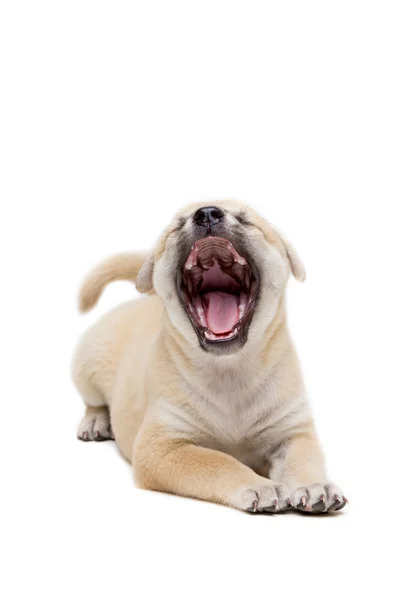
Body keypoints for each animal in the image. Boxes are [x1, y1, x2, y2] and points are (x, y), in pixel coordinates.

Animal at [72, 199, 346, 512]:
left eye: (246, 219)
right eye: (178, 225)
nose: (206, 213)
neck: (228, 369)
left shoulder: (294, 432)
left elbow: (303, 459)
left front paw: (313, 485)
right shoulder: (162, 447)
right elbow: (219, 462)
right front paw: (258, 485)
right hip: (86, 367)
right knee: (92, 402)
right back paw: (95, 422)